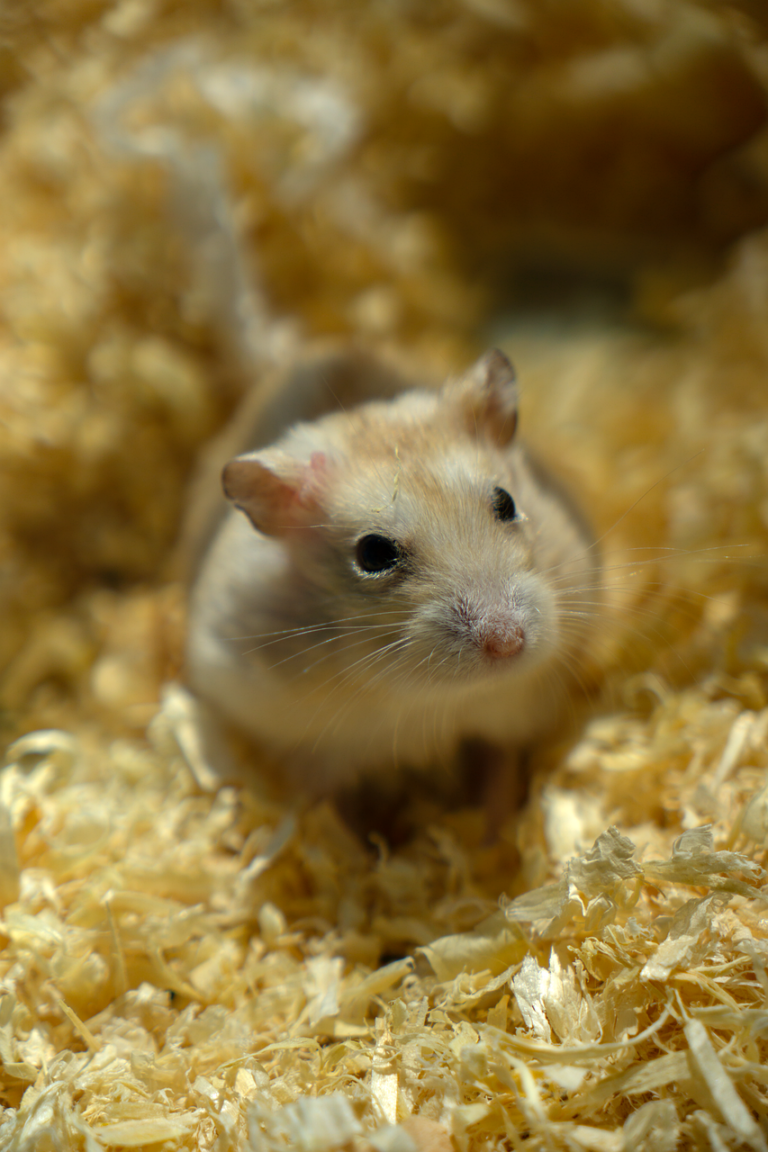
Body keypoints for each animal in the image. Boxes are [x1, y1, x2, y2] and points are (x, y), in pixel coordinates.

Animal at [185, 348, 601, 798]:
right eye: (373, 553)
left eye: (506, 502)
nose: (507, 643)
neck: (437, 699)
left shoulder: (509, 718)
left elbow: (500, 776)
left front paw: (498, 820)